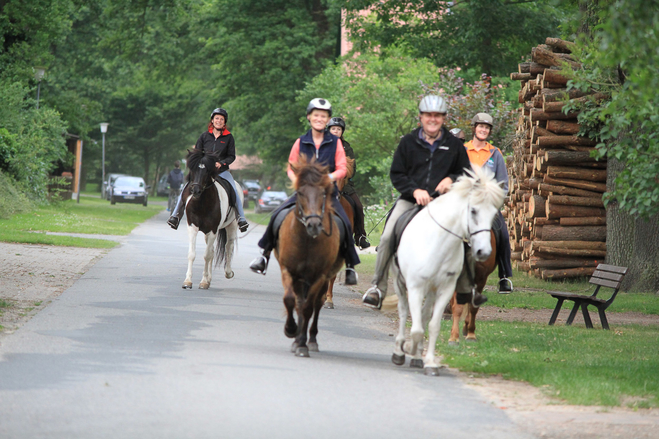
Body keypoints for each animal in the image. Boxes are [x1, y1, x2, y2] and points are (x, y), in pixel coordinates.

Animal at [182, 150, 244, 290]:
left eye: (206, 171)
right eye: (193, 169)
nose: (195, 190)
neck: (202, 203)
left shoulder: (213, 230)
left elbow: (207, 255)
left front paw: (204, 282)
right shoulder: (192, 227)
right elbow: (192, 254)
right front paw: (188, 281)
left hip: (232, 225)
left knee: (228, 247)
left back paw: (228, 273)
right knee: (213, 250)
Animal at [276, 157, 346, 358]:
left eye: (323, 193)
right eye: (300, 192)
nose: (313, 225)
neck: (306, 241)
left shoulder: (319, 276)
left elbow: (308, 308)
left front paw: (302, 344)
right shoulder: (288, 270)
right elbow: (290, 300)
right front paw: (291, 330)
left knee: (316, 304)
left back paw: (311, 340)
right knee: (299, 301)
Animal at [392, 168, 506, 378]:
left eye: (494, 214)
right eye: (473, 210)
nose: (483, 252)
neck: (438, 243)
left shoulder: (449, 287)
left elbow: (434, 325)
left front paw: (429, 361)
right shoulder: (415, 288)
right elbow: (418, 328)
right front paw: (410, 348)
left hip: (432, 289)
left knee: (426, 315)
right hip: (400, 282)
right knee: (403, 312)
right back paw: (399, 351)